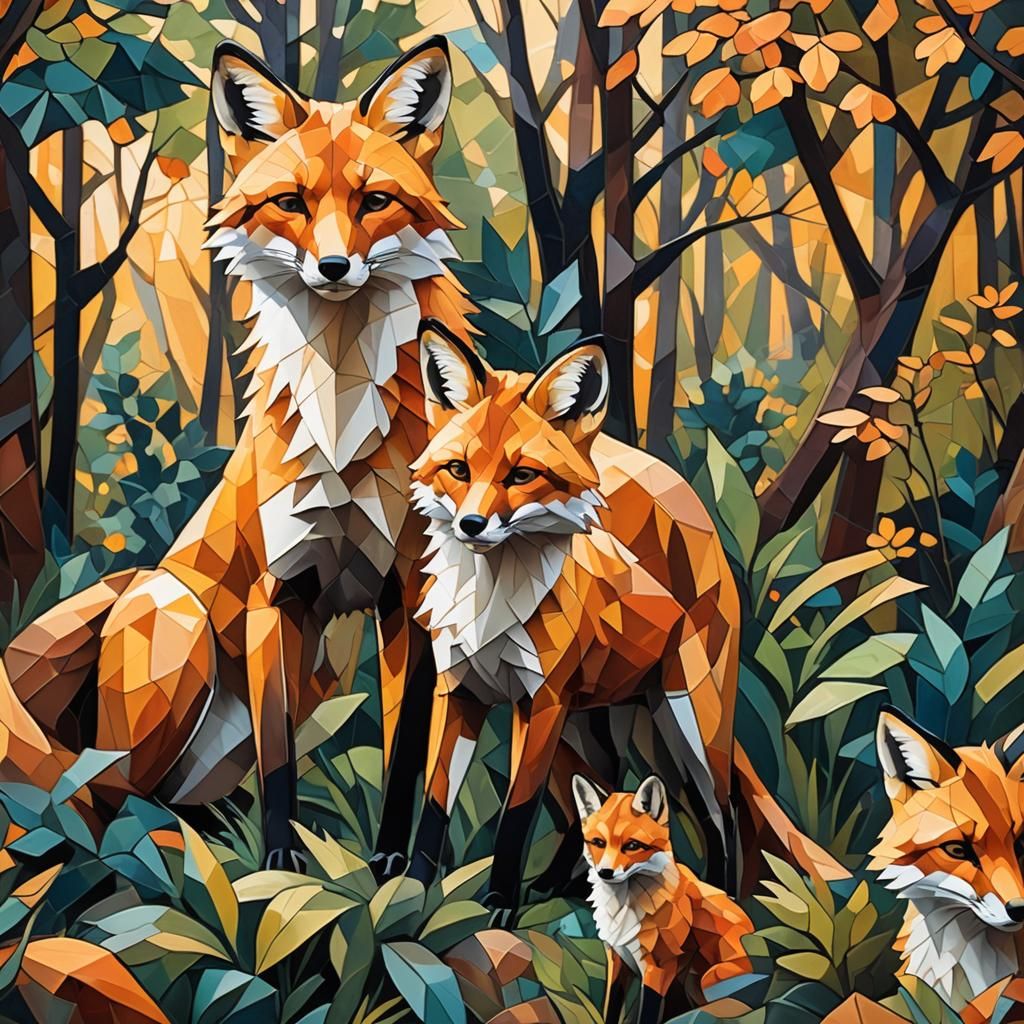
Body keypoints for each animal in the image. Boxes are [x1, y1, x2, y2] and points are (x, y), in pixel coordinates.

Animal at [0, 37, 473, 867]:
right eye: (291, 202)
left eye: (373, 202)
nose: (334, 268)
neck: (342, 418)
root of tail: (132, 579)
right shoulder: (274, 593)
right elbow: (280, 754)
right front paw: (281, 863)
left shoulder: (411, 596)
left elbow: (405, 753)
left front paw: (392, 865)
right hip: (185, 625)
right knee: (101, 794)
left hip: (318, 669)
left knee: (152, 795)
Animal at [403, 320, 848, 905]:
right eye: (457, 469)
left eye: (522, 475)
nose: (471, 526)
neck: (493, 606)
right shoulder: (460, 691)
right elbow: (434, 806)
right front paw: (404, 895)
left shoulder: (539, 704)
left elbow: (515, 818)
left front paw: (498, 906)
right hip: (589, 723)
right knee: (600, 788)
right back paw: (563, 883)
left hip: (685, 720)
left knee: (720, 811)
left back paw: (719, 893)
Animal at [573, 774, 754, 1024]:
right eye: (598, 843)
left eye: (632, 845)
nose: (605, 873)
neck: (625, 909)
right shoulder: (617, 960)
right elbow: (610, 1010)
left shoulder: (658, 970)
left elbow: (646, 1014)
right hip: (693, 985)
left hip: (708, 979)